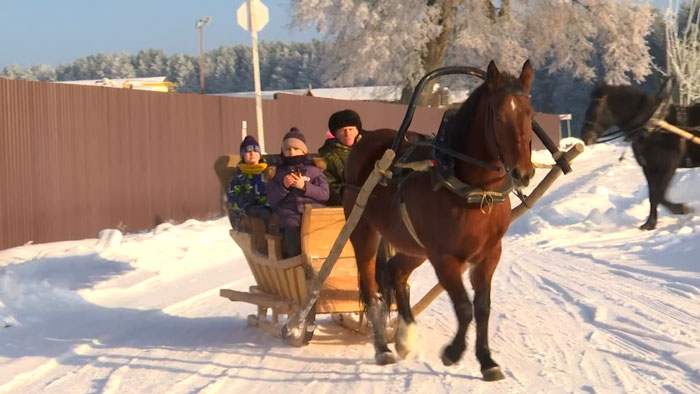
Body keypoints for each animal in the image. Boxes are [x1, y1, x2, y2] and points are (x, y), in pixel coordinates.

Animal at [342, 60, 532, 380]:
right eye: (498, 113)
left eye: (530, 112)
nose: (523, 172)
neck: (472, 190)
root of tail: (367, 140)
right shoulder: (444, 258)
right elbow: (464, 307)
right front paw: (453, 352)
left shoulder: (489, 254)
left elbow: (482, 307)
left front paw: (487, 360)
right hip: (363, 231)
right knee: (370, 287)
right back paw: (382, 348)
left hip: (413, 246)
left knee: (396, 273)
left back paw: (405, 337)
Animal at [580, 84, 700, 229]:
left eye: (597, 105)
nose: (585, 137)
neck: (652, 127)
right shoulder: (649, 168)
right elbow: (654, 195)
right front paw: (651, 222)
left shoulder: (667, 167)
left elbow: (658, 195)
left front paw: (678, 210)